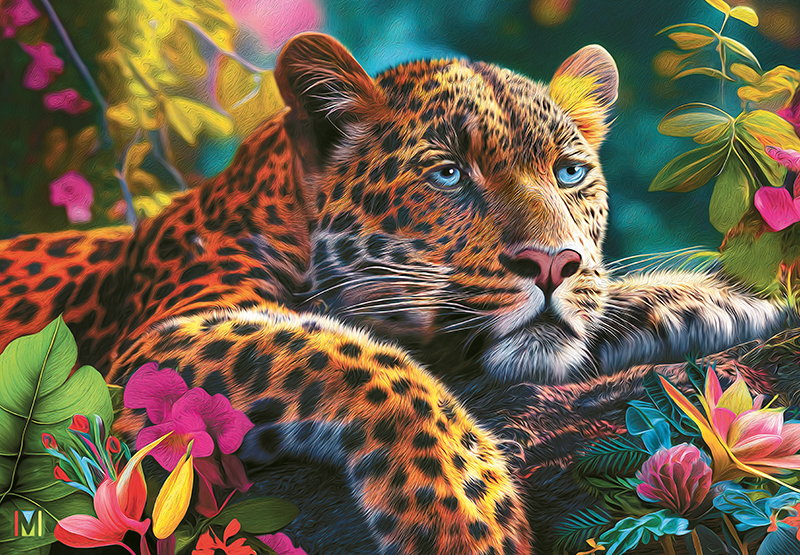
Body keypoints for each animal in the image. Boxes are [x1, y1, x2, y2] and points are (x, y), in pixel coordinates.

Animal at [0, 33, 792, 554]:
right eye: (448, 174)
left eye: (569, 173)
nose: (555, 262)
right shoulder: (147, 352)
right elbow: (350, 354)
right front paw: (469, 517)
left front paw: (715, 298)